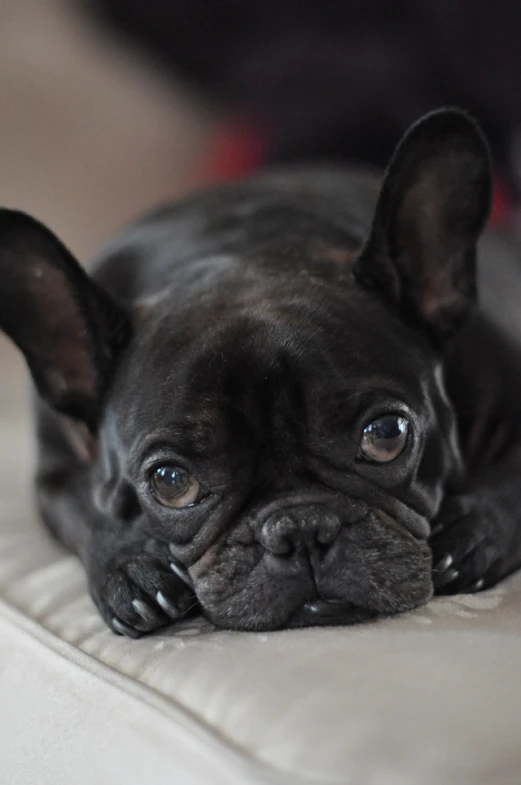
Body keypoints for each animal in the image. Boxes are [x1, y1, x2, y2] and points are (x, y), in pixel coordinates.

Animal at [2, 108, 516, 636]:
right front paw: (129, 567)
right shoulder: (54, 473)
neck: (234, 249)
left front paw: (474, 530)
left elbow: (513, 478)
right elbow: (83, 513)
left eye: (386, 434)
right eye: (171, 481)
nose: (302, 529)